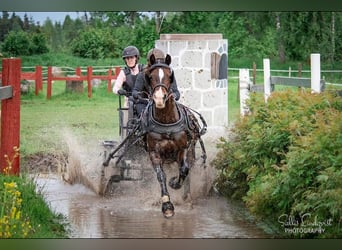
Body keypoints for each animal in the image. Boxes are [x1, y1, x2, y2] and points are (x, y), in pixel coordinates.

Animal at [140, 53, 207, 219]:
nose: (159, 98)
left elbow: (184, 170)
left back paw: (186, 196)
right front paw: (167, 205)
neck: (166, 121)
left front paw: (174, 183)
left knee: (188, 169)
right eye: (150, 76)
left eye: (170, 76)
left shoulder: (182, 149)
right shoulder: (154, 153)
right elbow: (161, 176)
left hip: (190, 150)